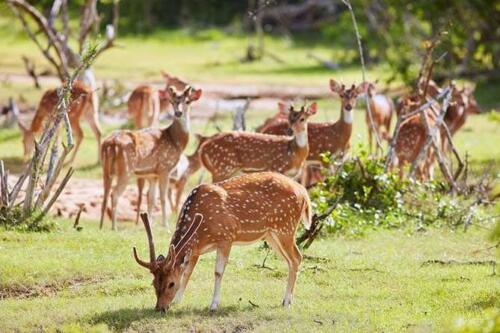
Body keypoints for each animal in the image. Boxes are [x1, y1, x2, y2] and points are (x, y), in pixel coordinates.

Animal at [98, 84, 202, 230]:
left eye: (187, 101)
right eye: (172, 102)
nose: (178, 113)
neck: (175, 141)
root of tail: (111, 144)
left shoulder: (153, 174)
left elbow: (152, 199)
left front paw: (150, 223)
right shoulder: (165, 168)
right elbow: (162, 198)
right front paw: (166, 225)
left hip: (106, 169)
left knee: (105, 193)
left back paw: (101, 226)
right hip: (126, 169)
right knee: (115, 194)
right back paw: (114, 226)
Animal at [135, 171, 310, 312]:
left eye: (171, 283)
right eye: (153, 283)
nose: (160, 308)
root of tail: (304, 192)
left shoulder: (226, 237)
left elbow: (218, 272)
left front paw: (213, 305)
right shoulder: (196, 250)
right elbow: (188, 271)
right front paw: (178, 301)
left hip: (285, 228)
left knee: (297, 257)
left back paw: (286, 302)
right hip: (271, 235)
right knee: (292, 260)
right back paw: (287, 300)